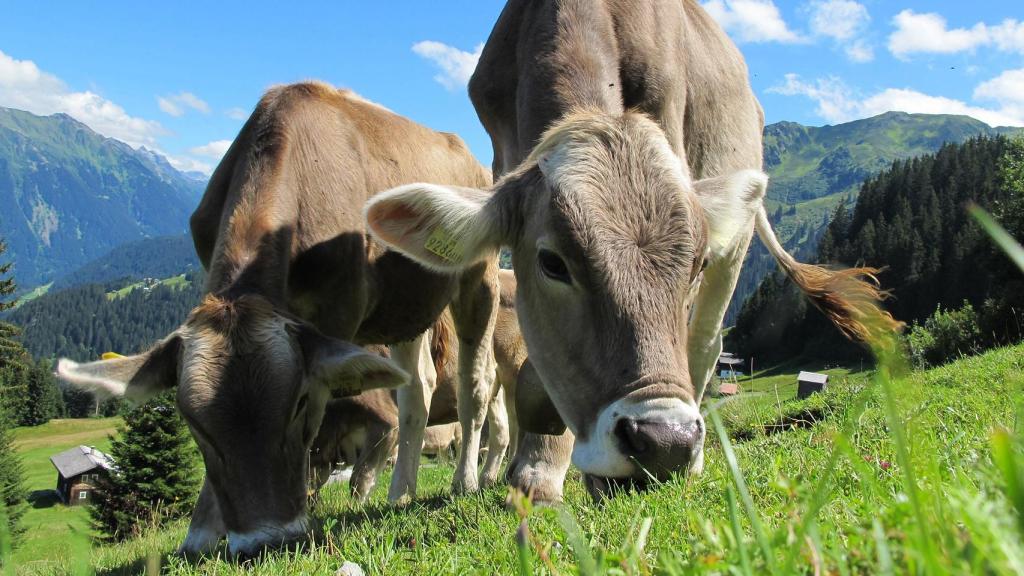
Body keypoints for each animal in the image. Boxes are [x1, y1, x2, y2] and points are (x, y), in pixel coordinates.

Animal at [55, 81, 500, 557]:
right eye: (192, 423)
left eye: (299, 403)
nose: (264, 541)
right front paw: (202, 532)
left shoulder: (337, 316)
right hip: (405, 307)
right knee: (417, 389)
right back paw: (401, 492)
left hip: (479, 278)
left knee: (476, 385)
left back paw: (465, 481)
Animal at [364, 0, 899, 503]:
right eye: (552, 263)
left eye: (695, 264)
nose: (666, 443)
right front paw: (539, 467)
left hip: (738, 235)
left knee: (706, 342)